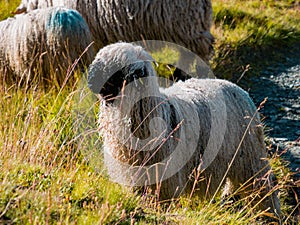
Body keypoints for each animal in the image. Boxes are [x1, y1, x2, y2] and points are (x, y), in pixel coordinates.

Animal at [86, 41, 282, 216]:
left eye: (115, 71)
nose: (91, 83)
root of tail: (237, 88)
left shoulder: (164, 179)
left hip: (250, 155)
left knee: (263, 185)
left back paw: (270, 214)